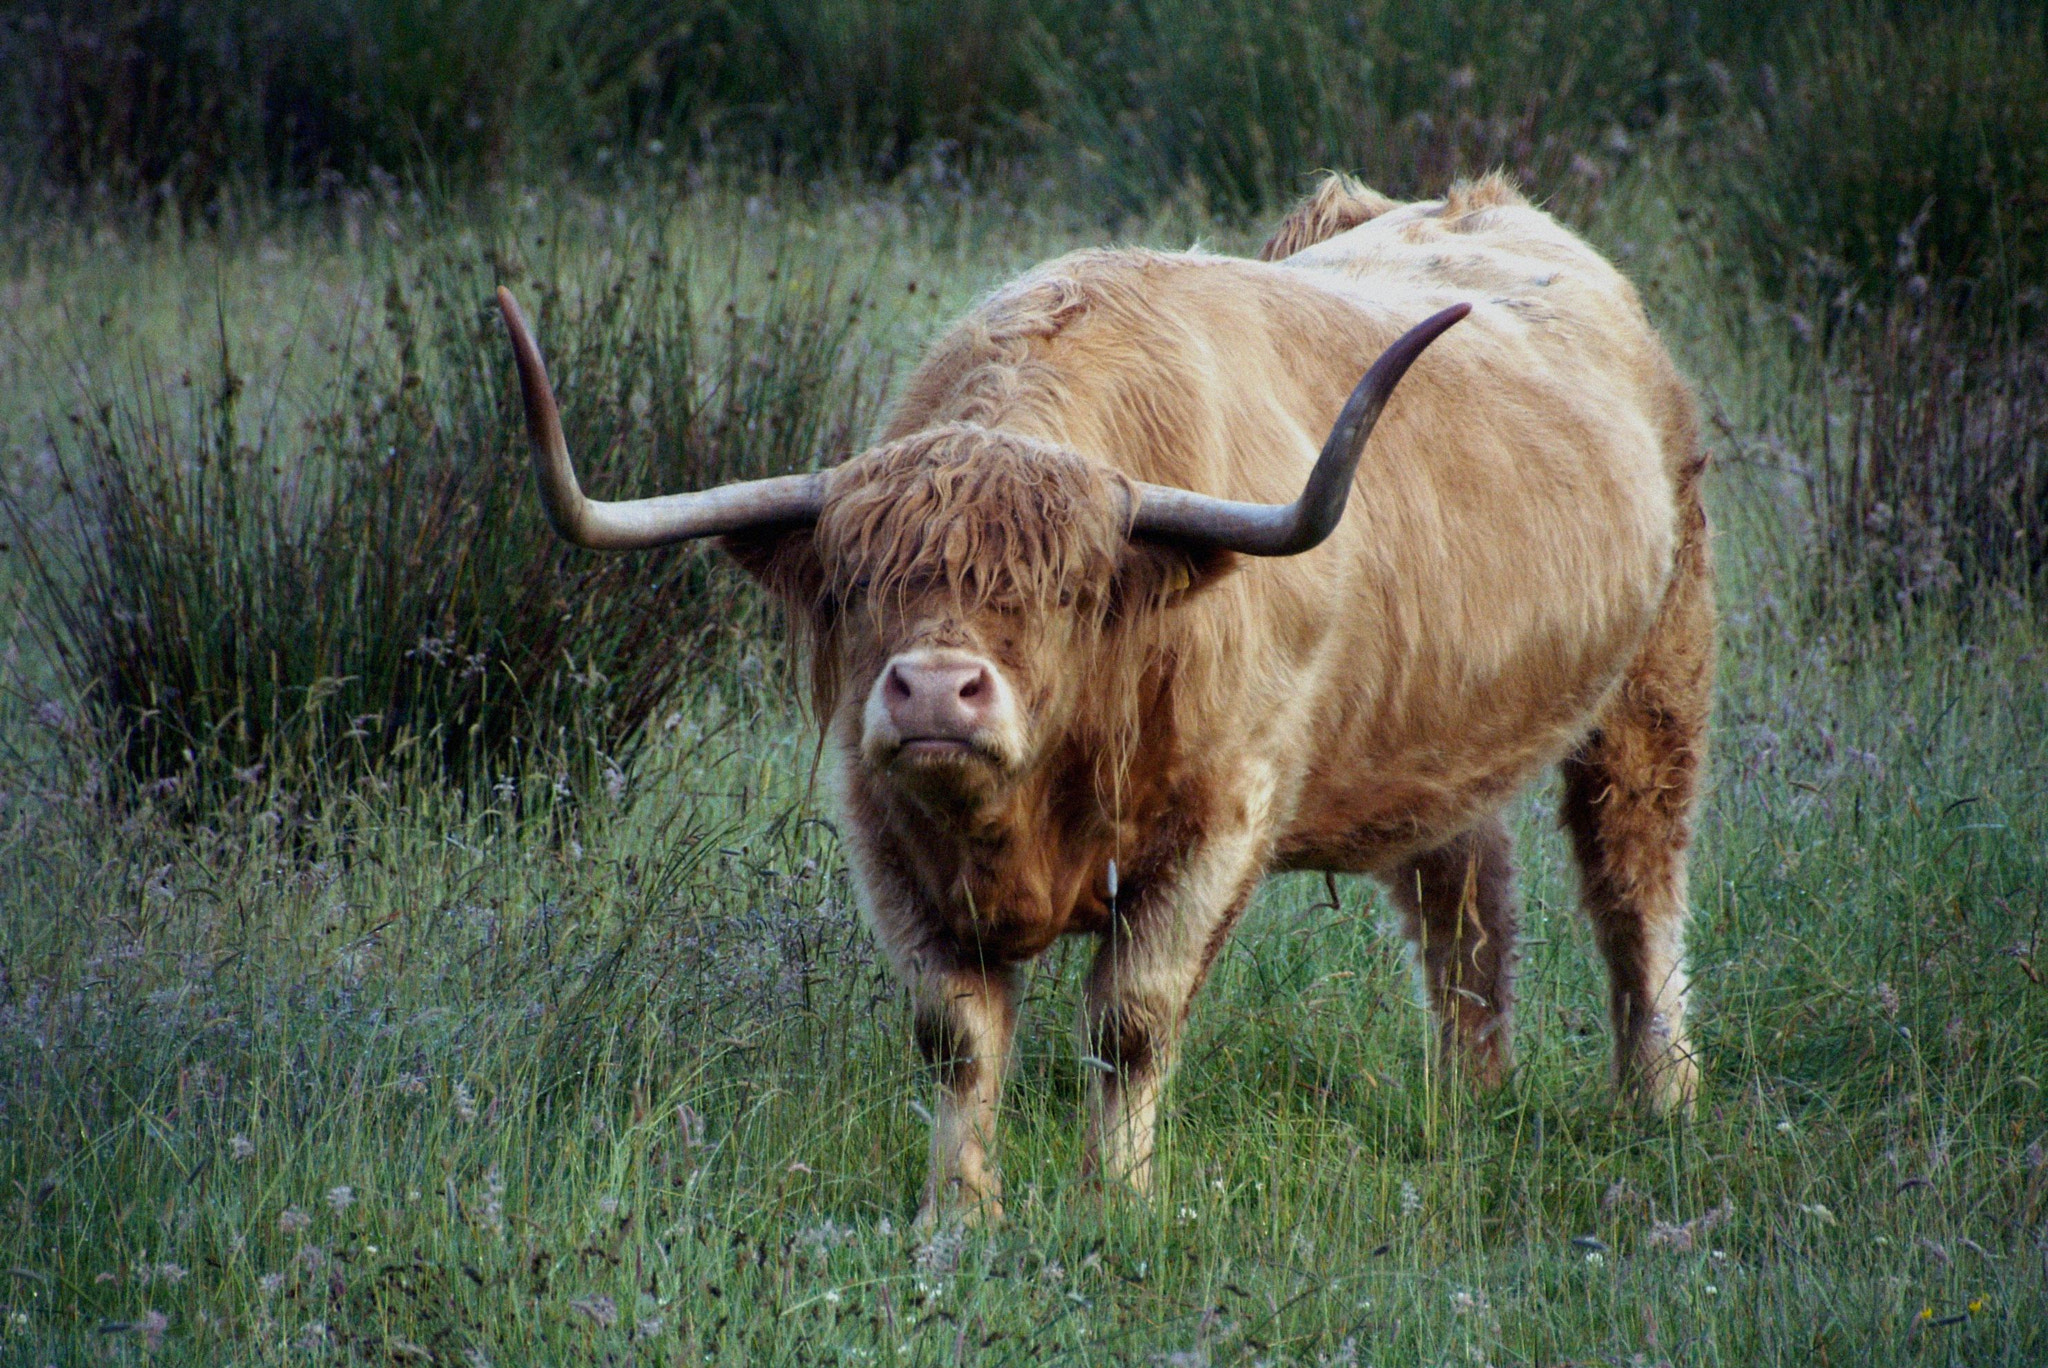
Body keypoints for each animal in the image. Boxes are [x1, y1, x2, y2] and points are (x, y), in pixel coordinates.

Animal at [494, 171, 1715, 1226]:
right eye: (855, 583)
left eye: (1065, 590)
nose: (934, 691)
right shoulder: (882, 827)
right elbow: (953, 1032)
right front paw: (958, 1213)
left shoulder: (1223, 816)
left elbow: (1129, 1020)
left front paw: (1112, 1201)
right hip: (1443, 743)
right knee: (1465, 893)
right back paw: (1467, 1097)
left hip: (1656, 678)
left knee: (1631, 878)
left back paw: (1658, 1099)